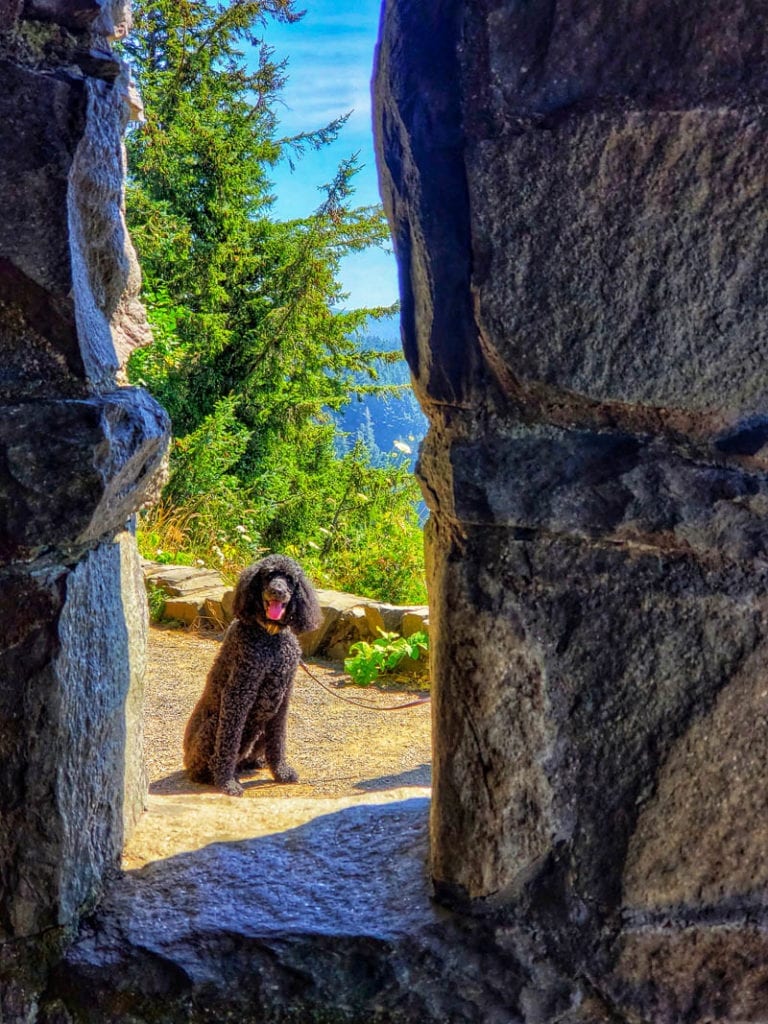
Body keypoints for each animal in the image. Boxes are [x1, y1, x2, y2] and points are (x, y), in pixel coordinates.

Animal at [183, 557, 321, 794]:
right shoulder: (238, 693)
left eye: (289, 579)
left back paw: (256, 762)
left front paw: (281, 772)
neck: (269, 636)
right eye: (268, 575)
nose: (277, 591)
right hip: (214, 725)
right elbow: (228, 743)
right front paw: (227, 783)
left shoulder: (283, 697)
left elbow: (278, 741)